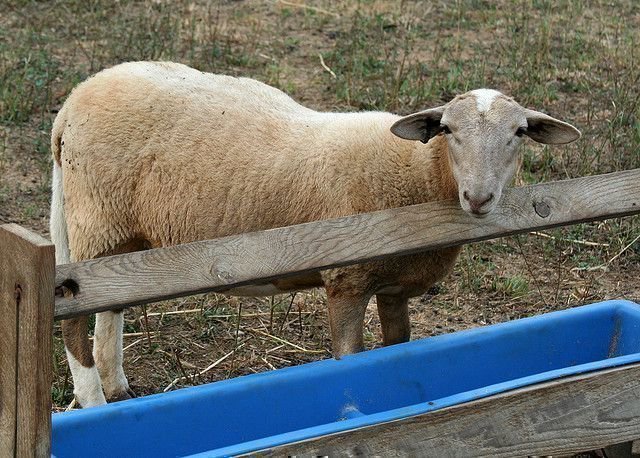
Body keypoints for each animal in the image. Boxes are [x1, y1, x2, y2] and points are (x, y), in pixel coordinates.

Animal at [50, 61, 580, 408]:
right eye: (447, 129)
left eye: (519, 133)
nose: (478, 197)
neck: (418, 175)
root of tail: (73, 101)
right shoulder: (346, 280)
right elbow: (349, 357)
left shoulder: (394, 287)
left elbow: (397, 346)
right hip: (96, 214)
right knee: (75, 320)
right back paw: (95, 404)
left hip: (121, 229)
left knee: (112, 305)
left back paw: (118, 389)